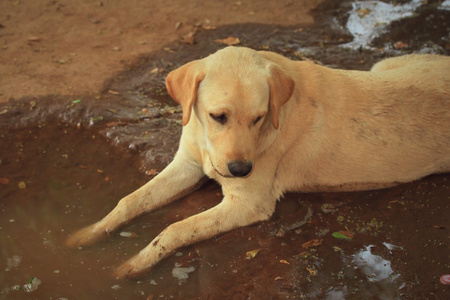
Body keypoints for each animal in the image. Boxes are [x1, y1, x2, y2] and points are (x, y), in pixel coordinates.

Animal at [65, 47, 448, 278]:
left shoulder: (246, 204)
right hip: (383, 65)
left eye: (259, 118)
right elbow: (130, 200)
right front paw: (86, 234)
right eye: (218, 116)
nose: (241, 171)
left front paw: (132, 265)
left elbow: (176, 229)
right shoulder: (186, 164)